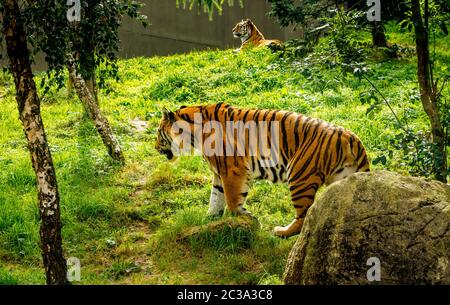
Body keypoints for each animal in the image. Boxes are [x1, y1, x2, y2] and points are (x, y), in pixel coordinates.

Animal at [155, 102, 370, 238]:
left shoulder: (232, 171)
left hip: (299, 176)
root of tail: (352, 138)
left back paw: (282, 232)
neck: (194, 136)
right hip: (343, 180)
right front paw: (208, 220)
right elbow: (215, 198)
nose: (155, 147)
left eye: (158, 132)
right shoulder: (219, 173)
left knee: (303, 216)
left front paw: (246, 218)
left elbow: (232, 200)